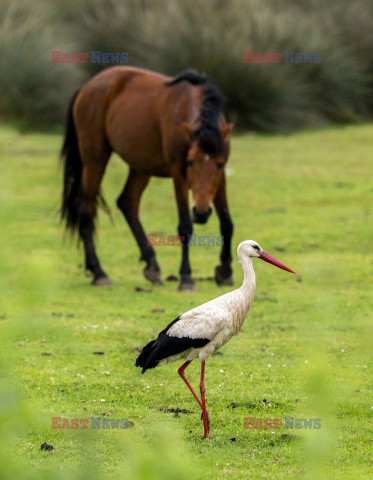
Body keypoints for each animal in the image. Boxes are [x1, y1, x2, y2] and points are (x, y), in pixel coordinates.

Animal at [61, 66, 232, 292]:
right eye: (190, 163)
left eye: (219, 165)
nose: (202, 212)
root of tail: (86, 87)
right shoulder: (178, 172)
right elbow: (185, 225)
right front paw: (186, 278)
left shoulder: (220, 179)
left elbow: (227, 223)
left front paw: (226, 270)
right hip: (95, 160)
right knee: (85, 207)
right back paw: (98, 272)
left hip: (141, 167)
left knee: (127, 202)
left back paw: (152, 265)